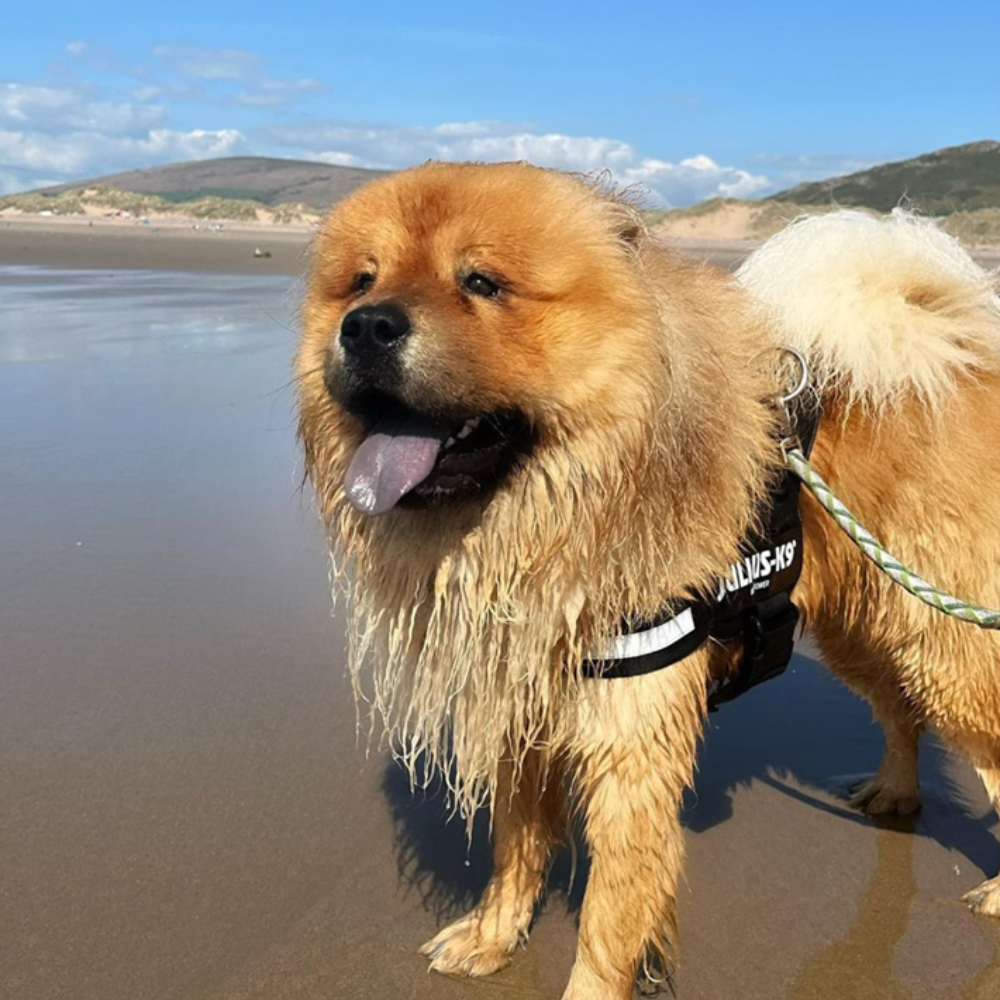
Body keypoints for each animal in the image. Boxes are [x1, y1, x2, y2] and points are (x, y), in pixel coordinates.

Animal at [292, 160, 1000, 996]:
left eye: (481, 282)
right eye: (361, 280)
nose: (367, 324)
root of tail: (953, 351)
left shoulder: (630, 738)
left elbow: (610, 912)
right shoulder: (522, 703)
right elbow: (516, 846)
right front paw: (493, 938)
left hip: (946, 647)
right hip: (864, 630)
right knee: (899, 712)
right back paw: (894, 792)